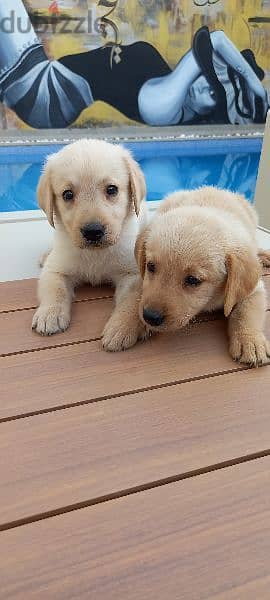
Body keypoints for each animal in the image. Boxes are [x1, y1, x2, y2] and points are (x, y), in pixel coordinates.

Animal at [33, 138, 150, 350]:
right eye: (67, 194)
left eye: (112, 189)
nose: (93, 231)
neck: (95, 253)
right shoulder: (56, 269)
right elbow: (55, 288)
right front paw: (50, 313)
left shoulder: (132, 274)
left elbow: (131, 300)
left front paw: (122, 327)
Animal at [135, 186, 270, 366]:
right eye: (150, 266)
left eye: (193, 280)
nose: (150, 316)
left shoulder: (254, 290)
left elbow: (246, 312)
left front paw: (250, 341)